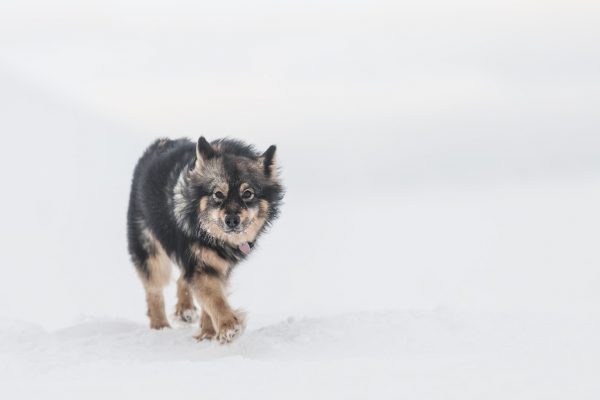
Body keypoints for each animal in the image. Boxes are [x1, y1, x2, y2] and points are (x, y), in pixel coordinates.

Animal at [126, 138, 284, 344]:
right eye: (218, 194)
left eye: (248, 193)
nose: (232, 220)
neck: (215, 238)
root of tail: (160, 142)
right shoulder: (202, 266)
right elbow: (215, 299)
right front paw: (228, 326)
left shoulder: (217, 266)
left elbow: (209, 302)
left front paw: (208, 333)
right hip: (150, 251)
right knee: (154, 290)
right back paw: (160, 327)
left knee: (182, 279)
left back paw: (184, 310)